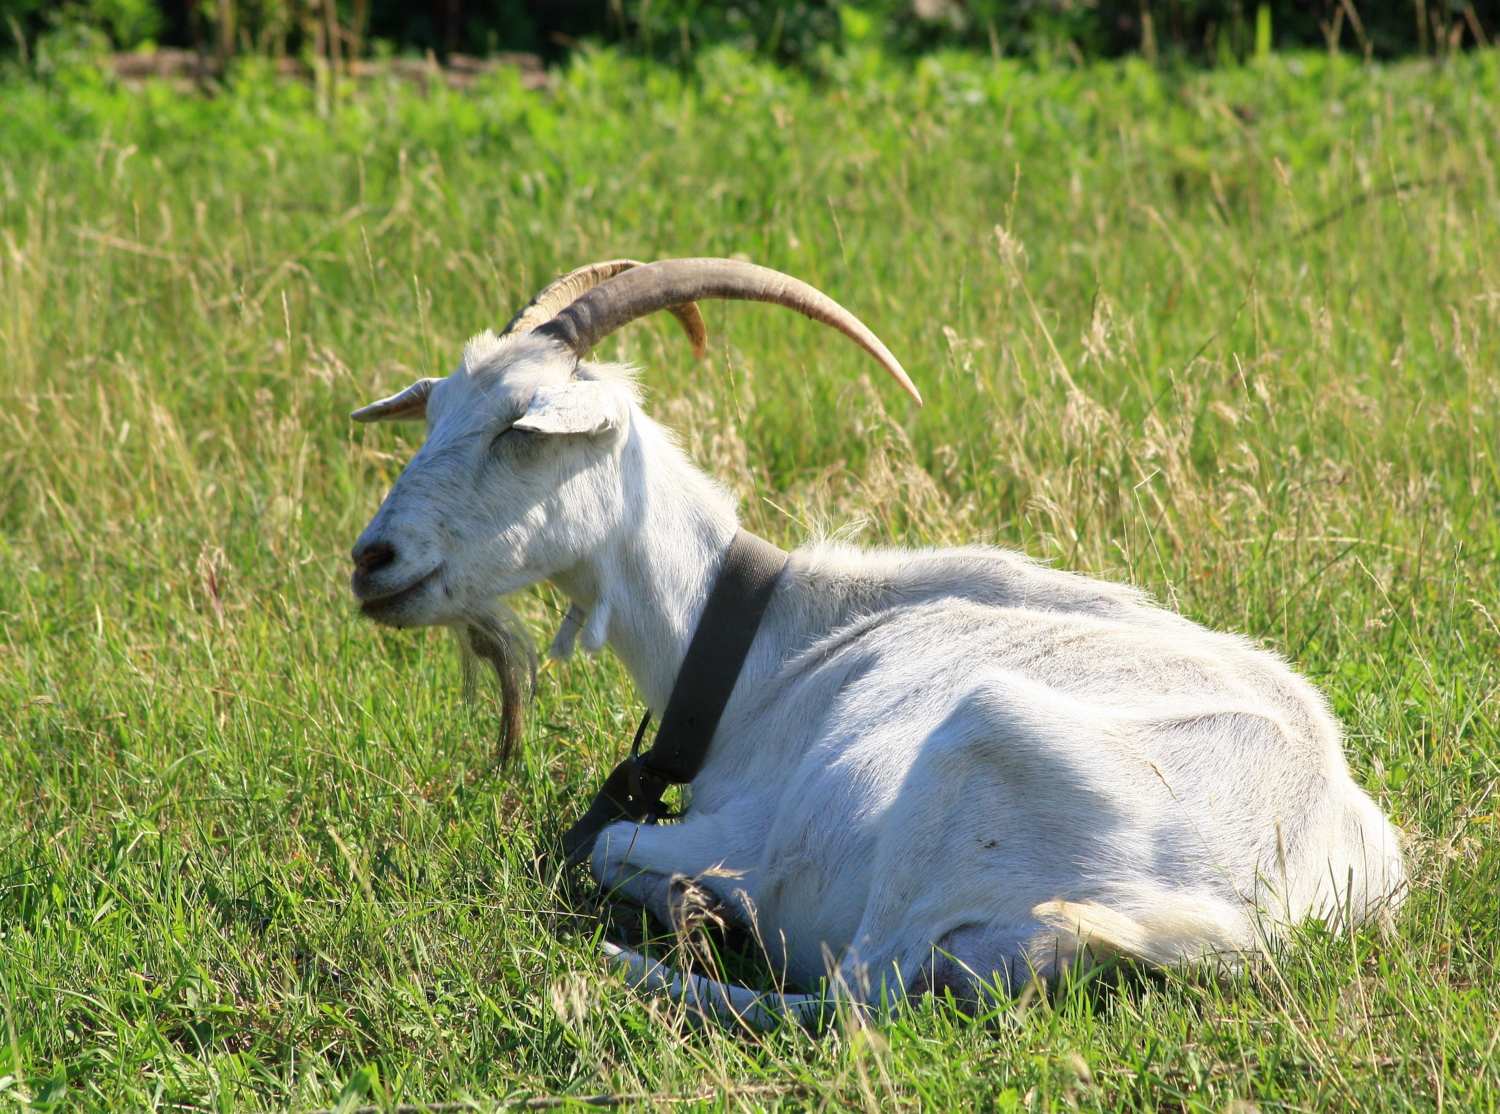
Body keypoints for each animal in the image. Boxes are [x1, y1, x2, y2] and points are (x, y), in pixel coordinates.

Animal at [351, 256, 1404, 1025]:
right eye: (435, 415)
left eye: (520, 430)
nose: (371, 559)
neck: (767, 647)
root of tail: (1233, 920)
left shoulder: (745, 832)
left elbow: (606, 840)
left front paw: (689, 907)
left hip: (974, 748)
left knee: (846, 1003)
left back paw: (618, 965)